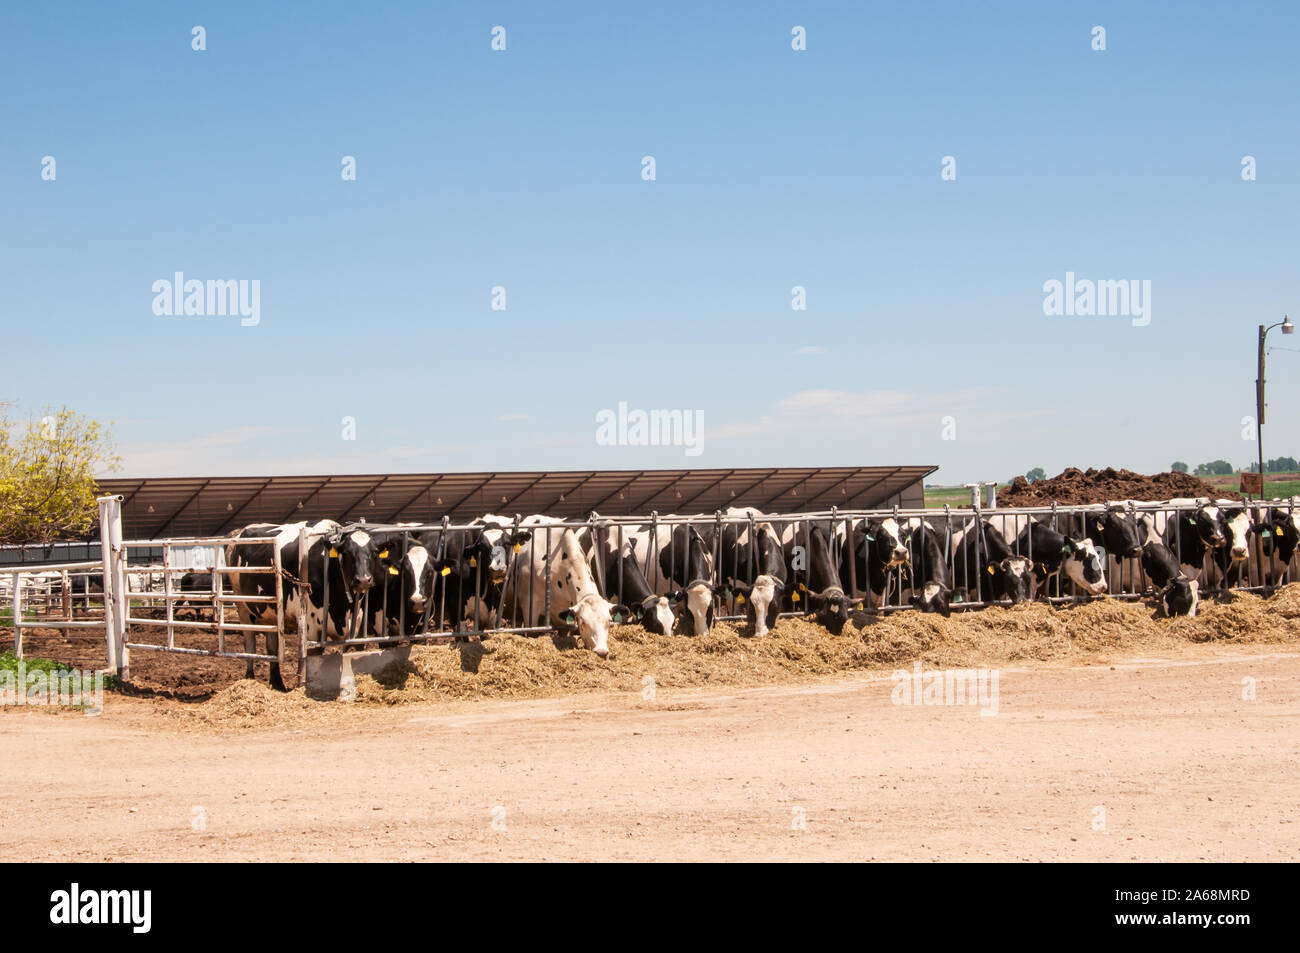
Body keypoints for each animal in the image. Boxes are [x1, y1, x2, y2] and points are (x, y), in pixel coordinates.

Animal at [227, 517, 379, 686]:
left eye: (374, 552)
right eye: (347, 553)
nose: (363, 580)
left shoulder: (355, 621)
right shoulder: (310, 624)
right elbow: (312, 654)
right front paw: (304, 682)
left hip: (270, 612)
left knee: (272, 646)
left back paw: (277, 683)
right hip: (242, 606)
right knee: (250, 642)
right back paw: (249, 677)